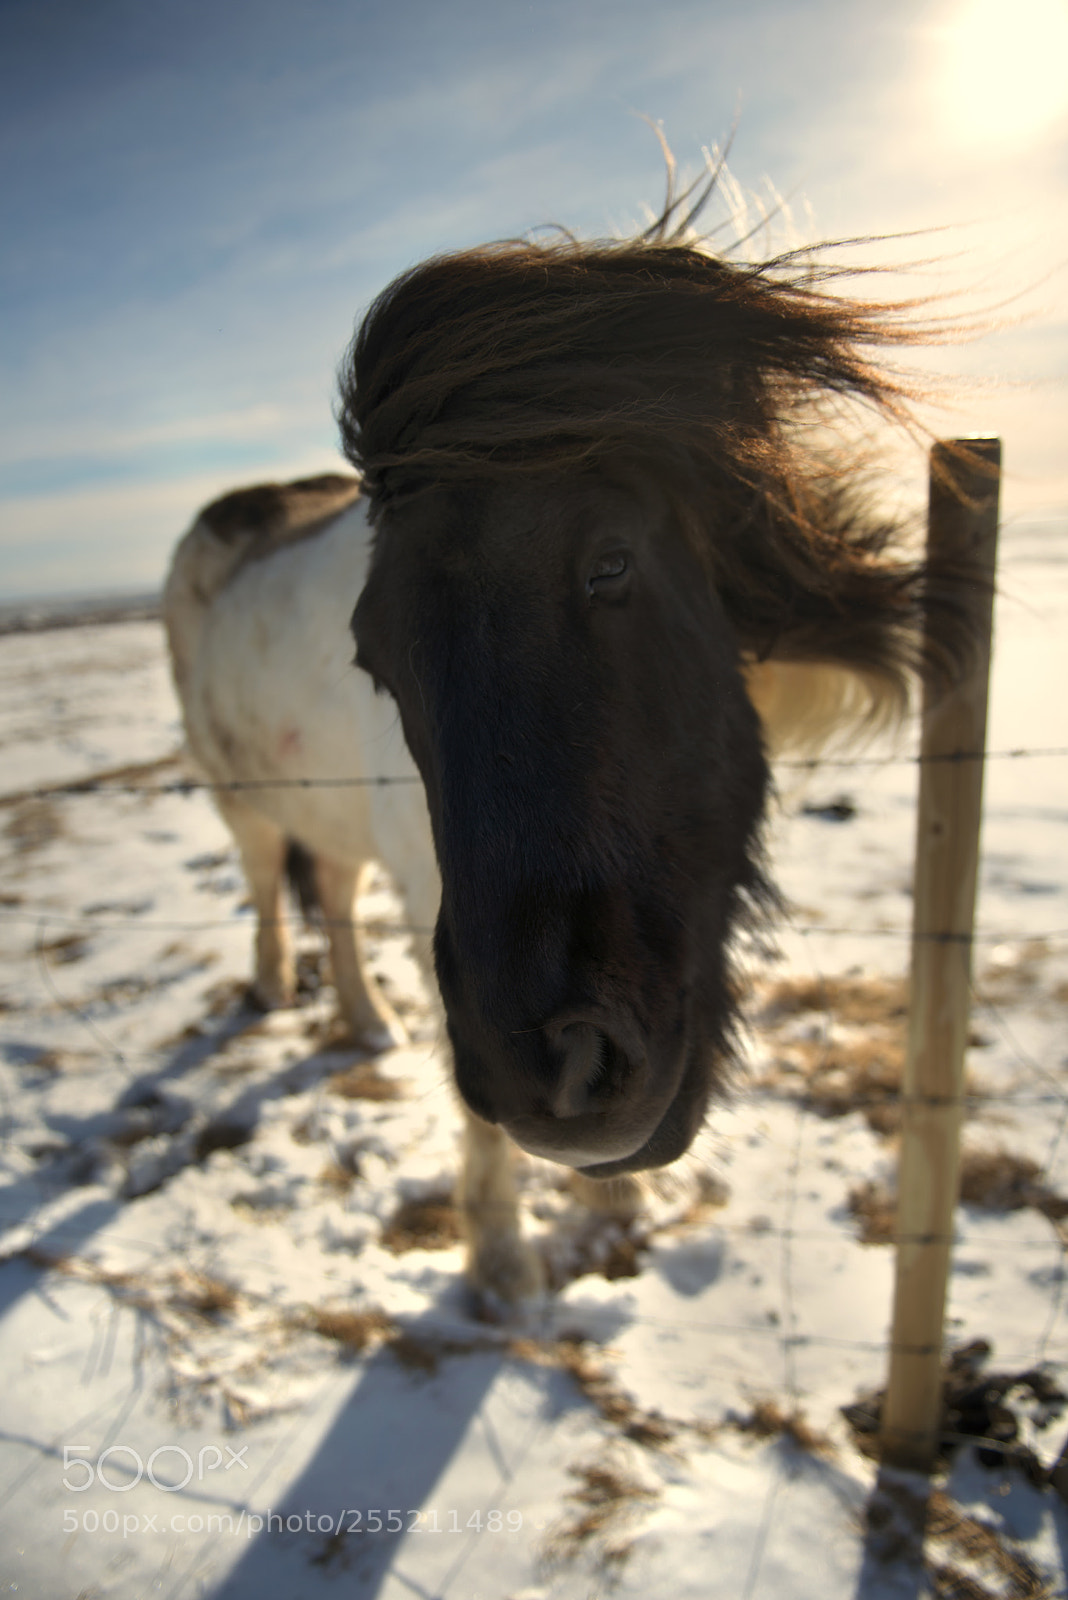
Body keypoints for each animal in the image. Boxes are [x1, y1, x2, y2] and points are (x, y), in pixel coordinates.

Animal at [164, 182, 976, 1306]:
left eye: (612, 564)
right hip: (241, 801)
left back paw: (367, 1023)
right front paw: (503, 1263)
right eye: (373, 652)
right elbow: (471, 1109)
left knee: (329, 890)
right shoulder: (431, 901)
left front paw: (611, 1208)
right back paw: (283, 992)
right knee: (270, 890)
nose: (557, 1078)